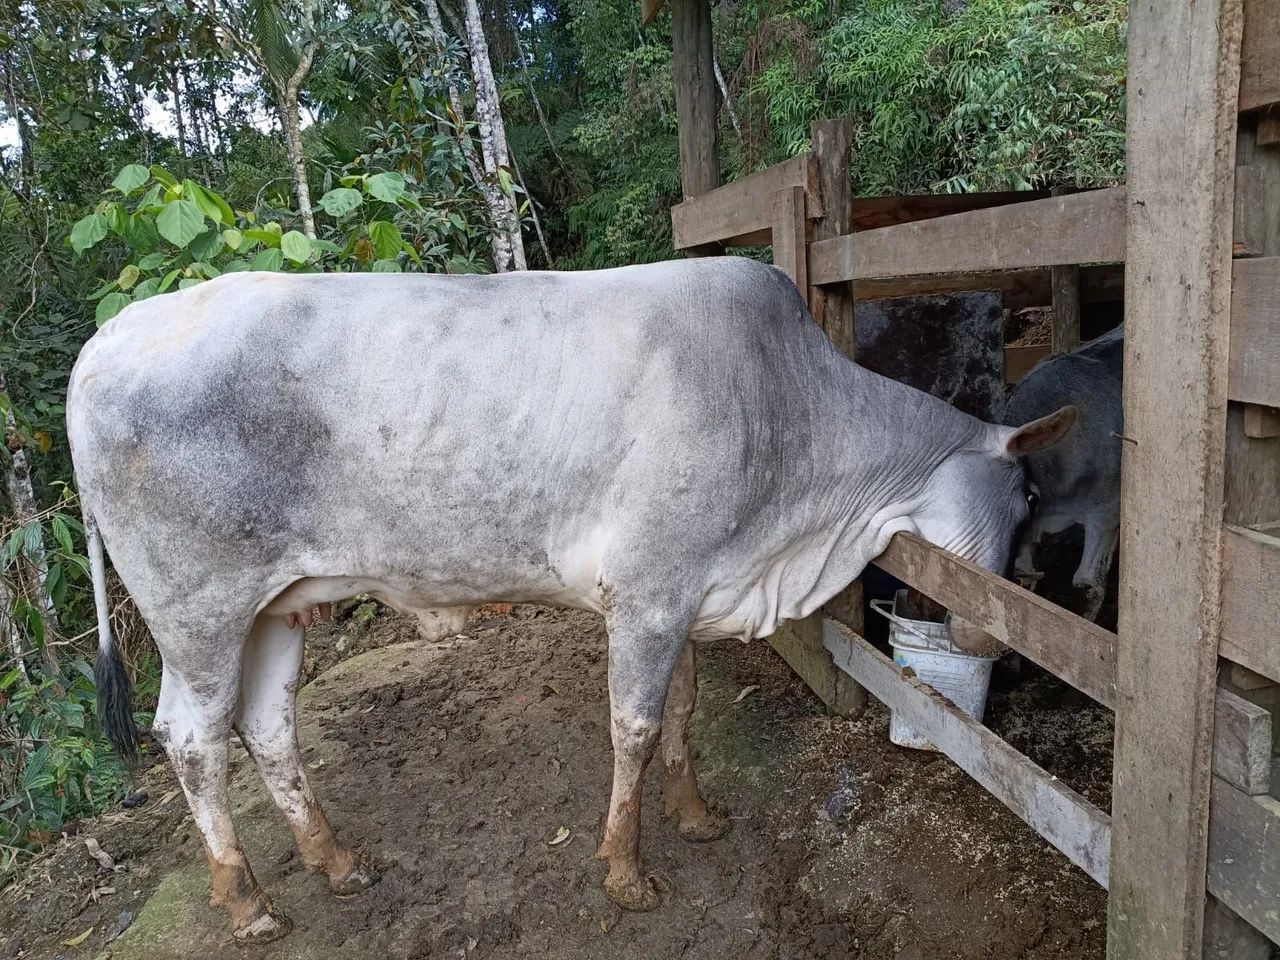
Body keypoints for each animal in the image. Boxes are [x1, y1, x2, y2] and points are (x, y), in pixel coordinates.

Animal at [68, 258, 1075, 942]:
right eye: (1027, 496)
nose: (993, 639)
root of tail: (108, 338)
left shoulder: (686, 588)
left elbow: (684, 707)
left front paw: (695, 816)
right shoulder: (650, 590)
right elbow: (633, 725)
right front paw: (626, 872)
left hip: (278, 605)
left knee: (268, 724)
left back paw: (336, 861)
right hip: (199, 610)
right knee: (193, 739)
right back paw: (247, 901)